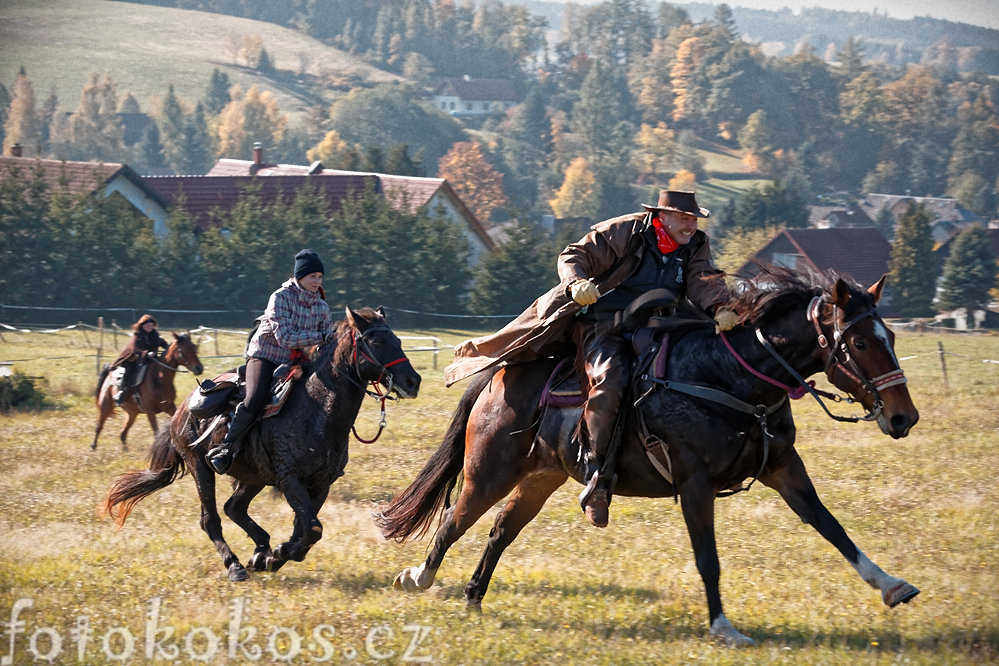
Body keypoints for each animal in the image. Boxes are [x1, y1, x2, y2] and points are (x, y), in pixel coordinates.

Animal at [104, 304, 422, 580]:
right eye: (375, 341)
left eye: (396, 339)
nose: (412, 381)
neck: (318, 408)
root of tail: (182, 410)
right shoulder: (290, 479)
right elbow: (312, 528)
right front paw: (277, 553)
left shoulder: (321, 484)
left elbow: (305, 528)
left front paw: (271, 556)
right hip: (201, 467)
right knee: (211, 519)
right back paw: (234, 565)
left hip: (253, 476)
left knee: (234, 507)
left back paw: (259, 549)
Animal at [380, 268, 920, 644]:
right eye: (860, 341)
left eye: (891, 337)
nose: (903, 417)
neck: (726, 377)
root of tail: (496, 378)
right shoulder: (694, 483)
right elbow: (708, 558)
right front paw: (723, 626)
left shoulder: (784, 469)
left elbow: (831, 526)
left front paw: (891, 585)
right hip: (490, 471)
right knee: (454, 520)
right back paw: (418, 578)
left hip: (540, 478)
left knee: (499, 531)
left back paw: (474, 598)